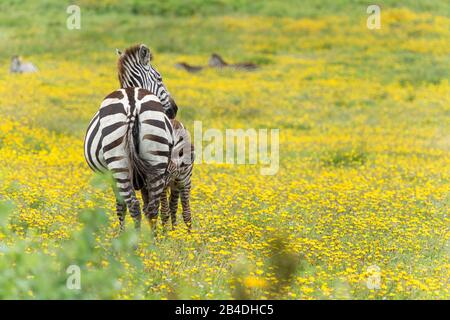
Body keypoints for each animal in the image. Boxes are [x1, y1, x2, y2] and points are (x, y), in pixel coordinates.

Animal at [84, 44, 178, 230]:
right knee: (152, 207)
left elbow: (121, 207)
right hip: (155, 160)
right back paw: (151, 238)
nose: (174, 109)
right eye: (160, 78)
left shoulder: (111, 176)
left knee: (133, 205)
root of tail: (132, 102)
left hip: (118, 163)